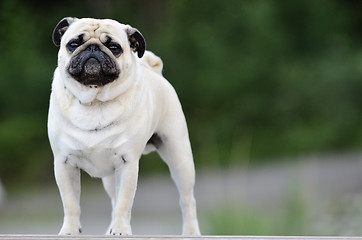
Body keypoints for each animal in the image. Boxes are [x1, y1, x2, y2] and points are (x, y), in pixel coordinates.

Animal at [47, 17, 201, 235]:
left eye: (114, 47)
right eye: (74, 44)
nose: (93, 48)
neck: (95, 101)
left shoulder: (127, 164)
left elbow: (124, 203)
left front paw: (121, 230)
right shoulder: (64, 163)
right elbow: (71, 204)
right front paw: (69, 230)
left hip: (180, 158)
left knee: (187, 200)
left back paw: (191, 232)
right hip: (110, 177)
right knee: (113, 199)